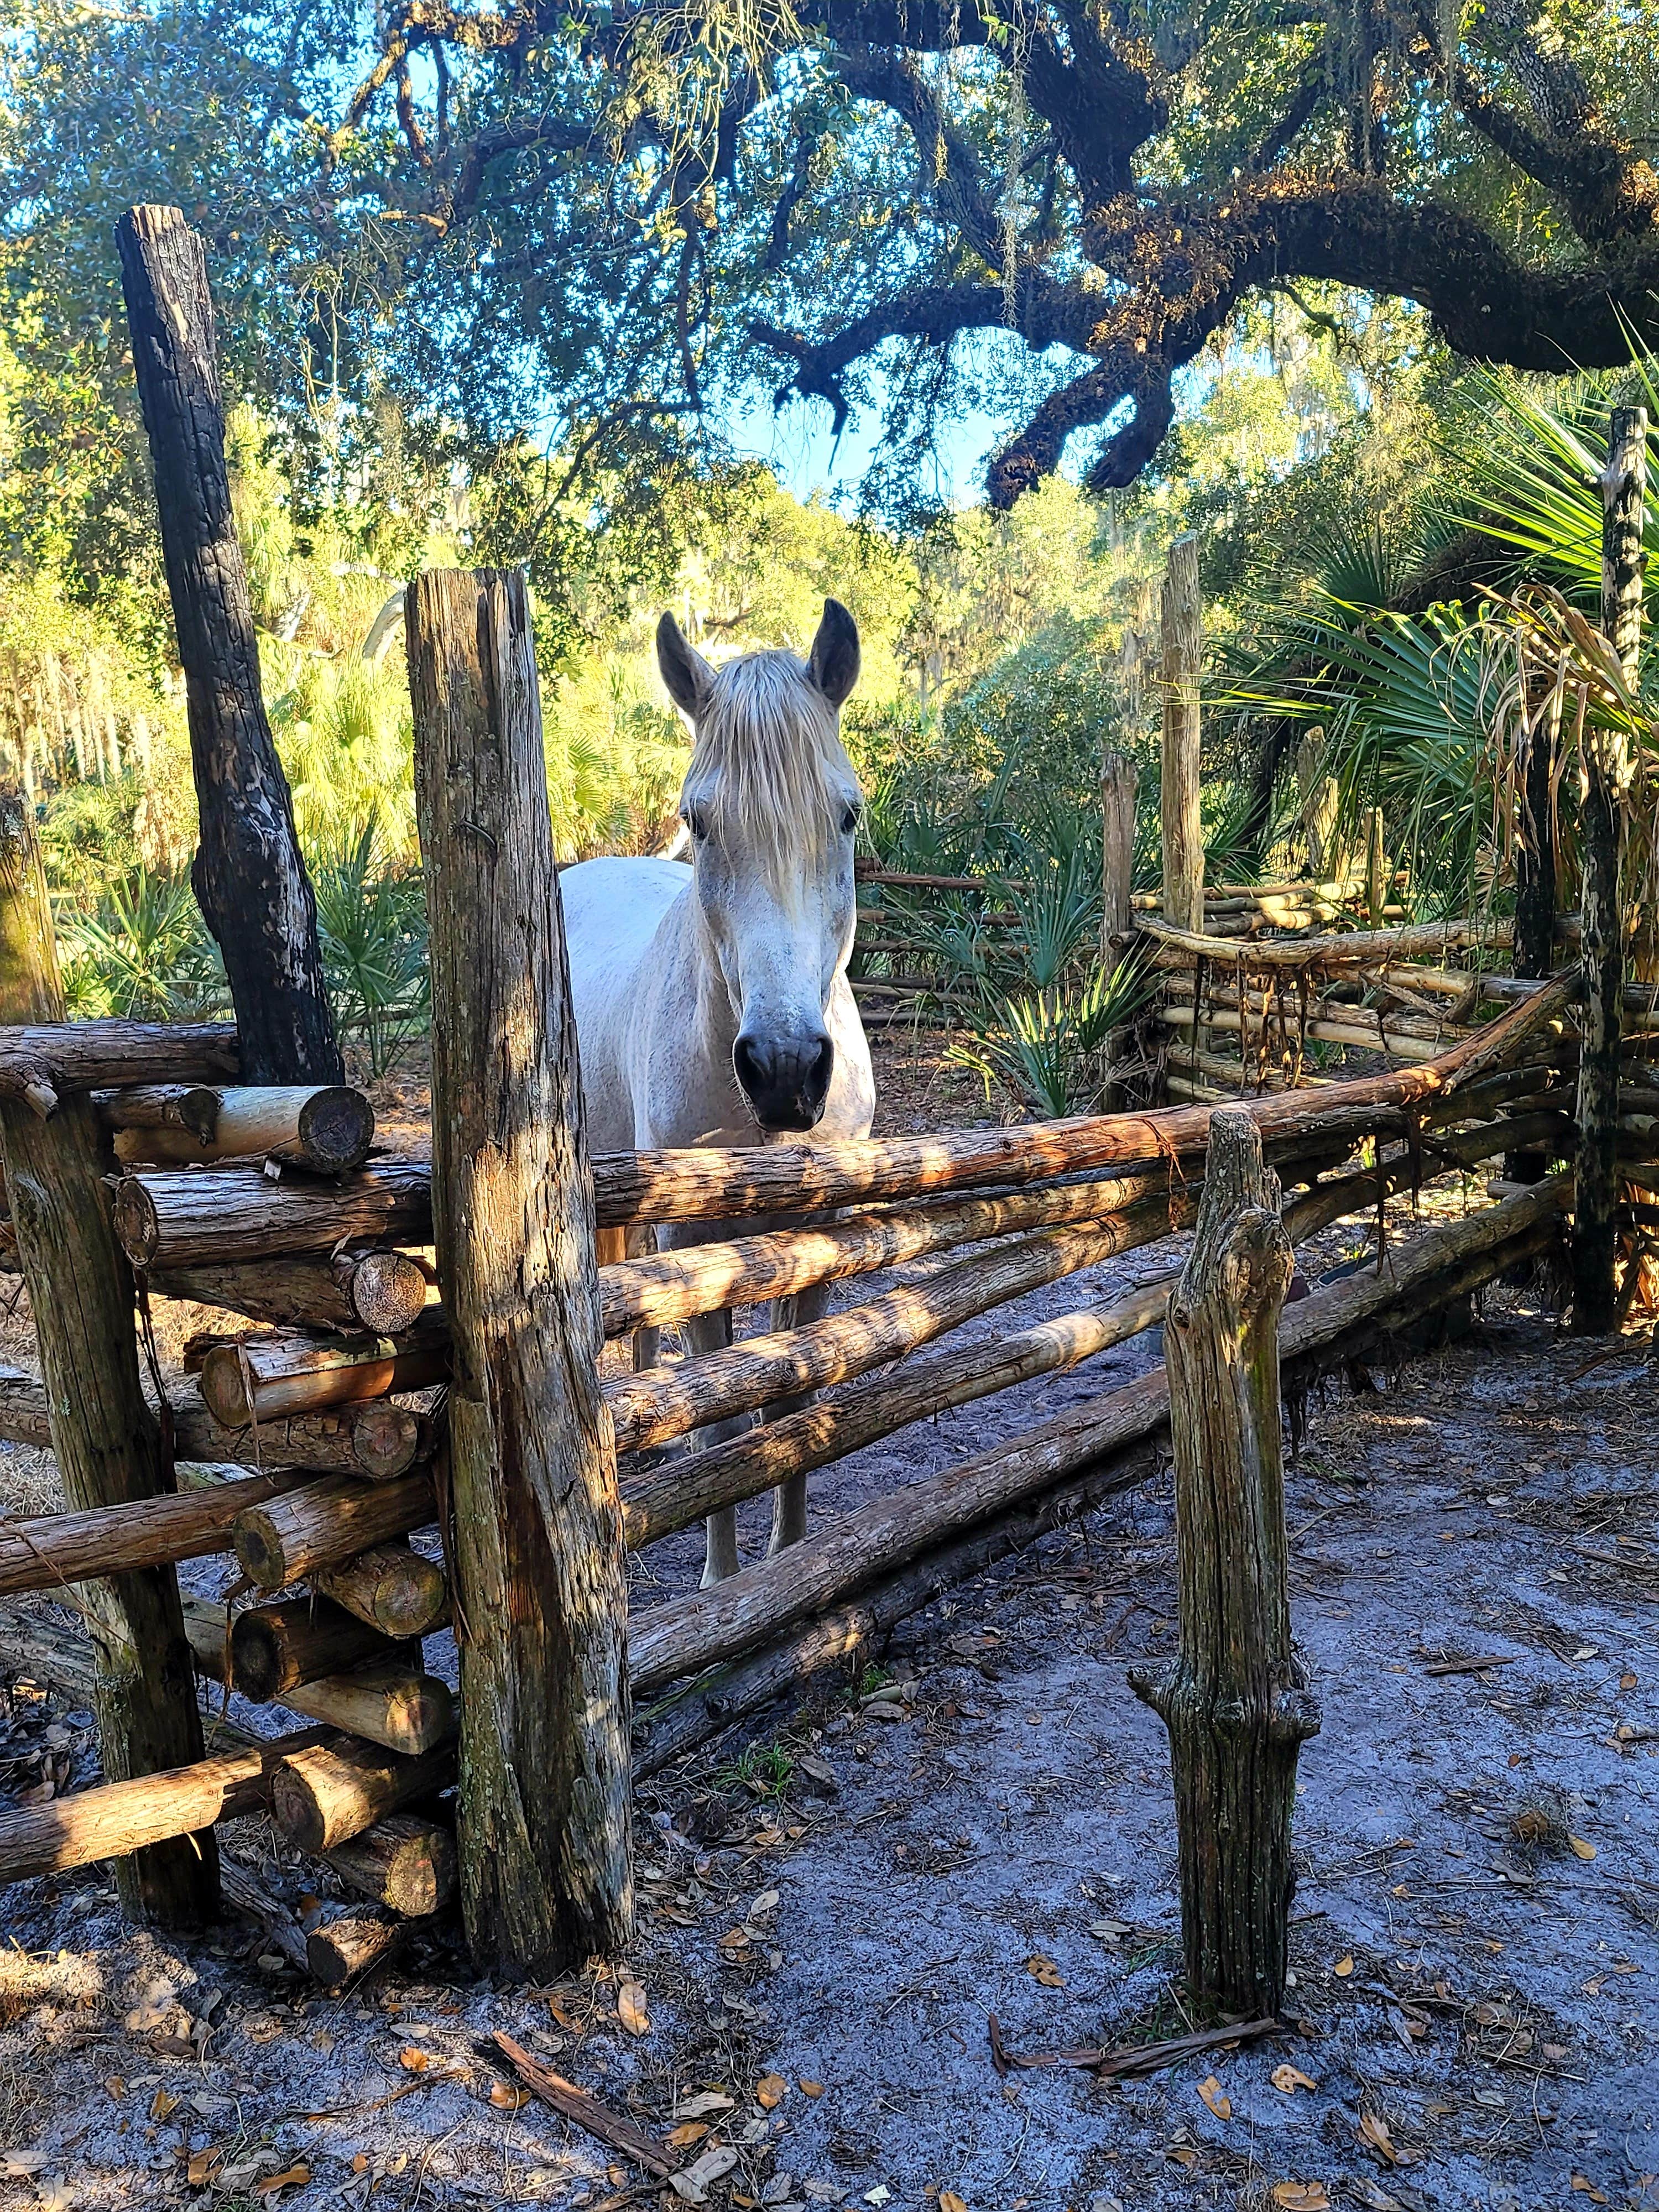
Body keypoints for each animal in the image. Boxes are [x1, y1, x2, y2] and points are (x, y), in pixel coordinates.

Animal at [560, 598, 876, 1583]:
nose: (786, 1070)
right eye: (699, 822)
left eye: (846, 815)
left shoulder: (817, 1243)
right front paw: (724, 1581)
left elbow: (790, 1401)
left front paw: (792, 1555)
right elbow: (723, 1422)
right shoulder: (697, 1246)